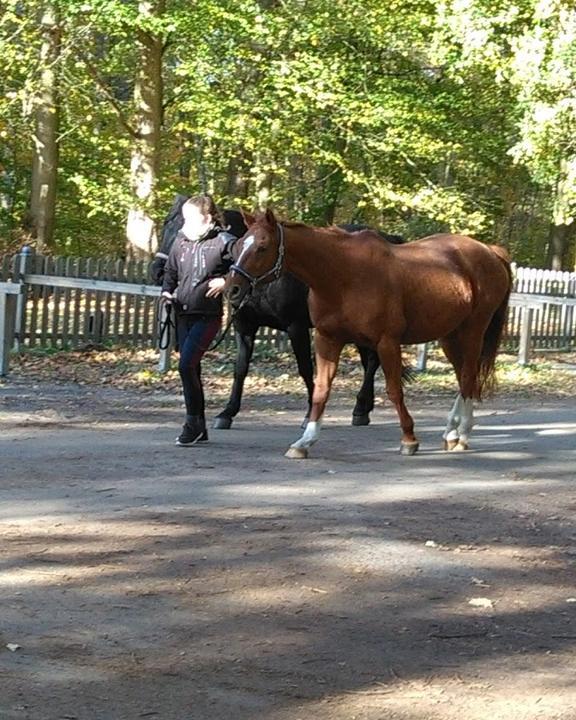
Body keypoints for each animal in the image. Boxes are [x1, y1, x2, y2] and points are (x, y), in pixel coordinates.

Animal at [226, 208, 512, 458]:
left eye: (262, 247)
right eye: (238, 246)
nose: (232, 290)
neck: (343, 275)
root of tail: (490, 252)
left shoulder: (387, 342)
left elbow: (394, 390)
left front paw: (409, 439)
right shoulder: (327, 339)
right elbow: (321, 390)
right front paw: (304, 441)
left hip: (473, 331)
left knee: (467, 378)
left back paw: (461, 434)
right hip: (449, 336)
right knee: (465, 377)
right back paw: (452, 433)